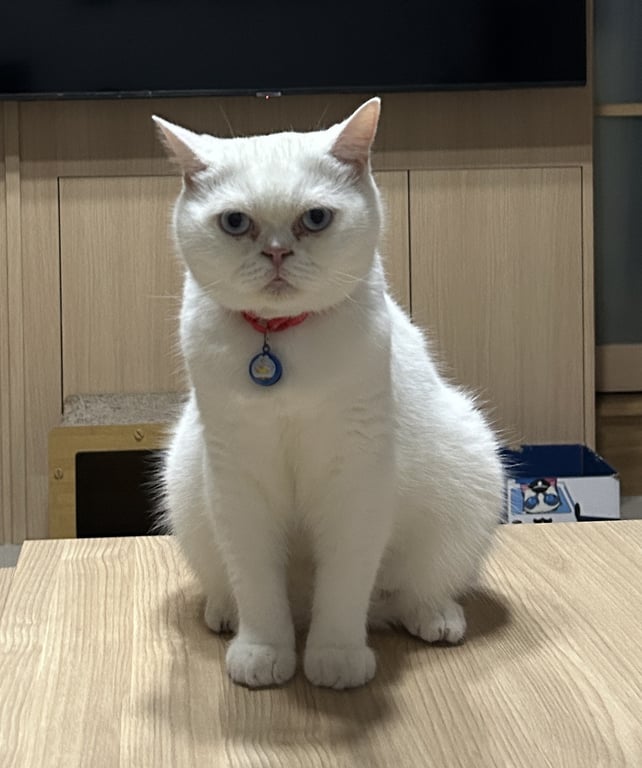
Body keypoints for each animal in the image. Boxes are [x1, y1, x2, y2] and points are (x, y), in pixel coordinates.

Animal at [154, 98, 504, 690]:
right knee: (236, 586)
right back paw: (226, 615)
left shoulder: (355, 478)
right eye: (235, 222)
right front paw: (264, 653)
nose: (276, 252)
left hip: (472, 466)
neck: (279, 342)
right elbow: (257, 585)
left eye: (315, 218)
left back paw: (435, 619)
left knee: (407, 592)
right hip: (186, 481)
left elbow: (343, 586)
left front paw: (336, 658)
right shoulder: (238, 478)